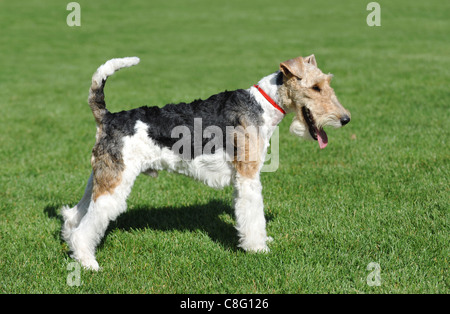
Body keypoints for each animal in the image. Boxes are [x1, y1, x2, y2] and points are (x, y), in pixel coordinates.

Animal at [61, 54, 350, 270]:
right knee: (86, 227)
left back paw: (72, 246)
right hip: (115, 182)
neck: (264, 104)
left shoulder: (240, 178)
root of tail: (107, 117)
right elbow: (254, 214)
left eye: (327, 82)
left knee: (75, 215)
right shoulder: (248, 175)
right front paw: (258, 248)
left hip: (101, 177)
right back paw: (89, 263)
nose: (345, 119)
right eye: (315, 87)